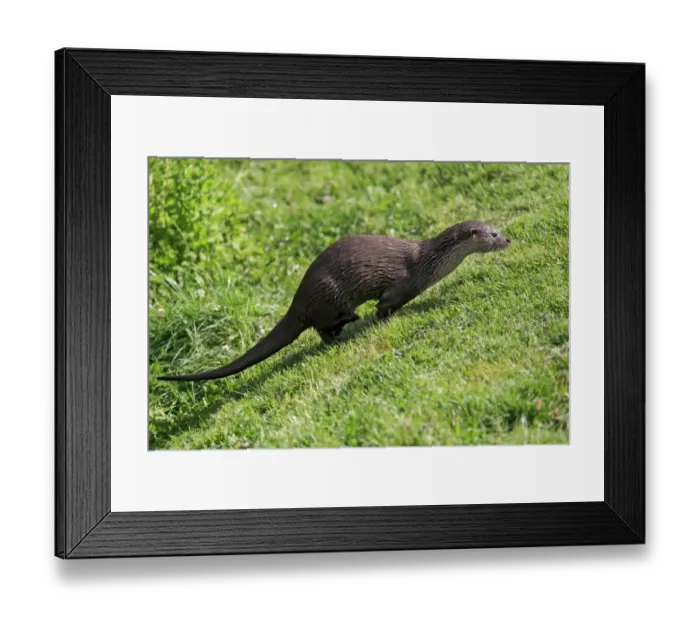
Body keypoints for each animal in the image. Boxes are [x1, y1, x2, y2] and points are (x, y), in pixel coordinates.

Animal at [158, 221, 510, 381]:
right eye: (492, 234)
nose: (507, 238)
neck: (428, 263)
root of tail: (298, 300)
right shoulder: (402, 284)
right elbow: (386, 304)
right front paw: (381, 317)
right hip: (329, 294)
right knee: (324, 326)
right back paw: (349, 322)